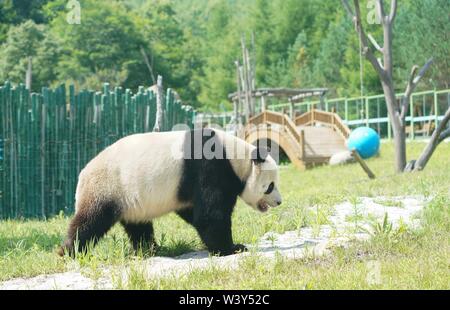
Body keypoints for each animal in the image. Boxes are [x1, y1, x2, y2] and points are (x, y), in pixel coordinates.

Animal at [56, 128, 282, 256]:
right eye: (270, 185)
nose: (279, 202)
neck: (235, 157)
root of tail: (82, 175)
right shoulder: (209, 167)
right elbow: (210, 214)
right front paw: (232, 248)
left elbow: (195, 213)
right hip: (108, 187)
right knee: (91, 221)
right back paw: (68, 251)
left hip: (130, 198)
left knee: (138, 226)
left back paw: (150, 249)